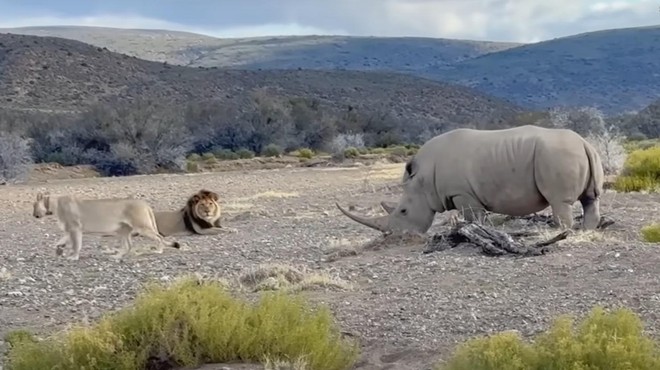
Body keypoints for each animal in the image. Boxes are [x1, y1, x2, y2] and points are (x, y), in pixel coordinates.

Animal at [32, 192, 179, 262]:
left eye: (34, 205)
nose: (33, 215)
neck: (54, 204)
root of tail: (145, 204)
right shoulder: (69, 229)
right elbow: (59, 241)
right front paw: (59, 250)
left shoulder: (75, 228)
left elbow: (76, 245)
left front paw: (73, 257)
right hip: (123, 230)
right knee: (128, 246)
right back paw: (116, 257)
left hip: (141, 227)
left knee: (159, 237)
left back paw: (159, 250)